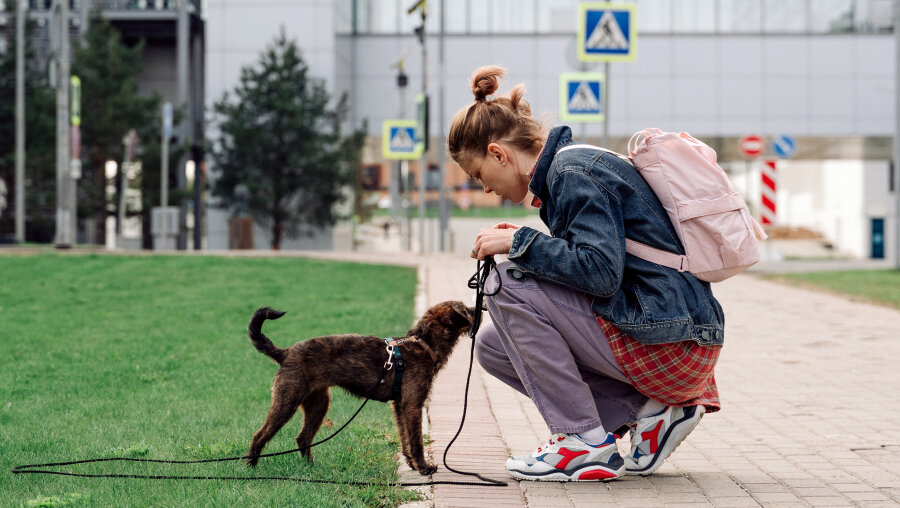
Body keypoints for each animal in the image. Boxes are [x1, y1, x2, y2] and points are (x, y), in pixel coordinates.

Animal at [243, 300, 474, 474]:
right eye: (465, 308)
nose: (478, 308)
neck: (423, 344)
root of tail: (286, 353)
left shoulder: (399, 407)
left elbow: (405, 439)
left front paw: (412, 465)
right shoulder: (412, 406)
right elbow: (416, 441)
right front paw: (424, 467)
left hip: (318, 404)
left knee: (303, 438)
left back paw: (311, 469)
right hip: (287, 402)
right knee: (260, 435)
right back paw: (251, 468)